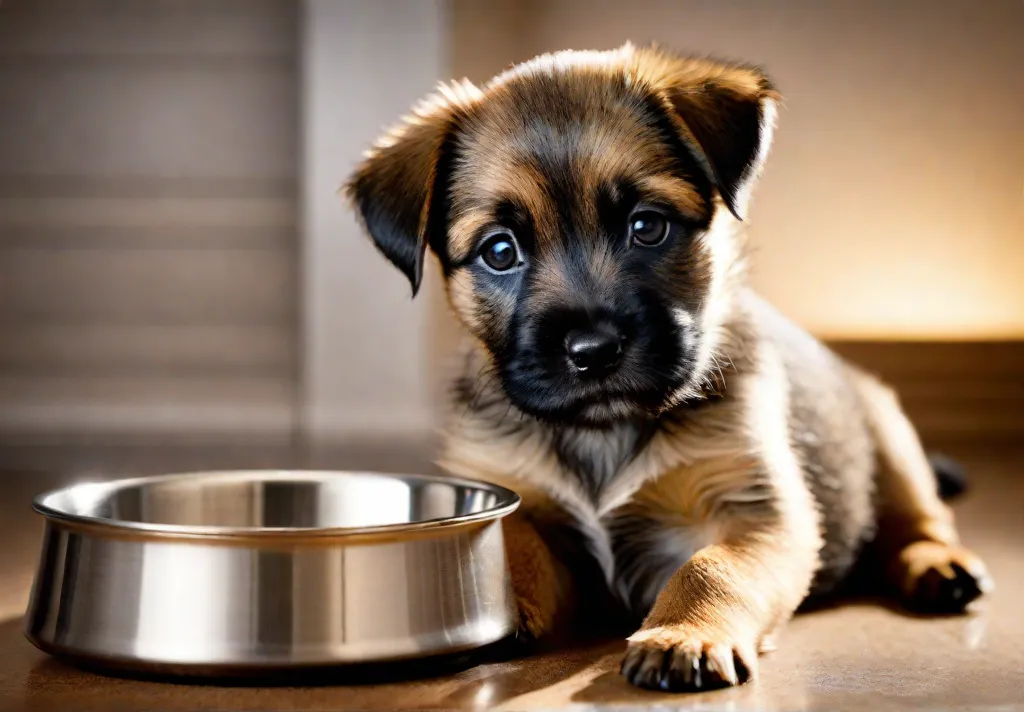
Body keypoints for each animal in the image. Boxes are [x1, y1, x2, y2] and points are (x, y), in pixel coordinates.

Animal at [346, 43, 991, 692]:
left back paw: (939, 565)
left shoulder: (755, 513)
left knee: (920, 518)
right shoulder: (536, 513)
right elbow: (512, 550)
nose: (592, 350)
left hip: (890, 436)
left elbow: (710, 568)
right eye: (500, 251)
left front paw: (682, 633)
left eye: (647, 226)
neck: (605, 433)